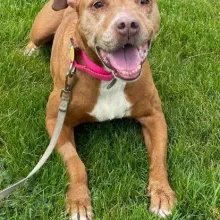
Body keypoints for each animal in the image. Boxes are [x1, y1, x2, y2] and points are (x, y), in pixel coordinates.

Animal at [25, 0, 177, 218]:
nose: (128, 24)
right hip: (42, 27)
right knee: (34, 39)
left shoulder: (154, 116)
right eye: (98, 4)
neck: (109, 77)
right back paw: (29, 50)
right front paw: (78, 201)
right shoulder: (56, 122)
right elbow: (75, 162)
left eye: (144, 1)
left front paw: (162, 193)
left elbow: (158, 158)